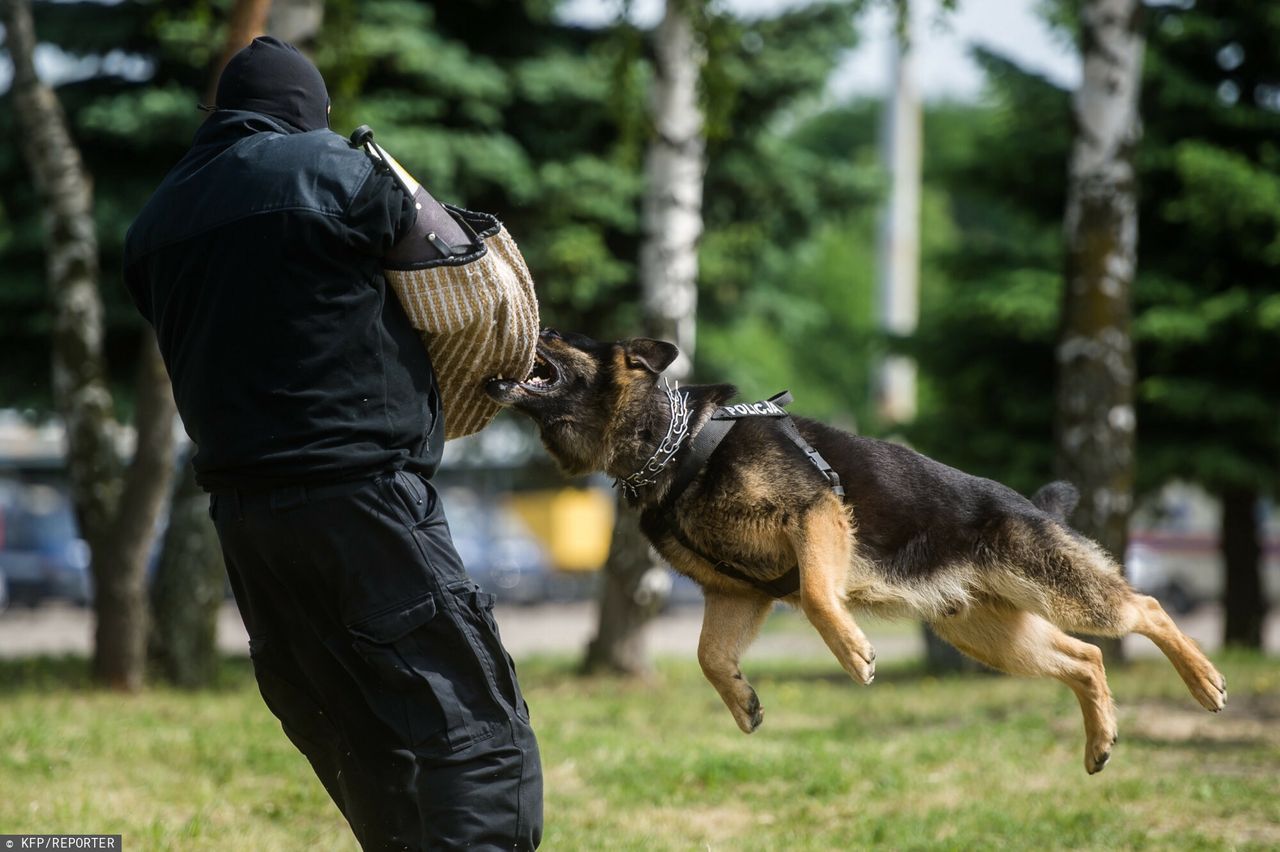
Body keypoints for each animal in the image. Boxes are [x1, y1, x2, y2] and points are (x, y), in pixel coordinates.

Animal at [483, 327, 1223, 767]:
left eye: (561, 336)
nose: (529, 323)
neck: (672, 441)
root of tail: (1032, 506)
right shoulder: (735, 592)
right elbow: (709, 655)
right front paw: (741, 702)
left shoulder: (815, 516)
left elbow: (816, 594)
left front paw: (853, 653)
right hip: (989, 639)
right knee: (1086, 659)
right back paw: (1101, 739)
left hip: (1061, 592)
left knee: (1145, 609)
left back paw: (1205, 682)